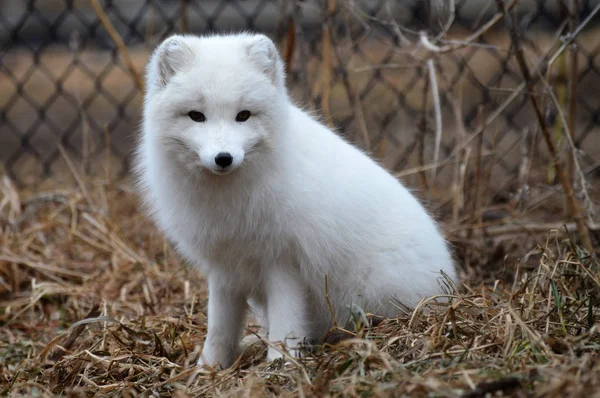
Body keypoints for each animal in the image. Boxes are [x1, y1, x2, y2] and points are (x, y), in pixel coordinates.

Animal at [135, 32, 454, 368]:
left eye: (243, 115)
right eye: (196, 116)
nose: (224, 158)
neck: (227, 197)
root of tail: (452, 284)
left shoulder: (284, 262)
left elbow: (285, 324)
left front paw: (281, 366)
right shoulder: (225, 268)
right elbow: (219, 329)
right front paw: (209, 369)